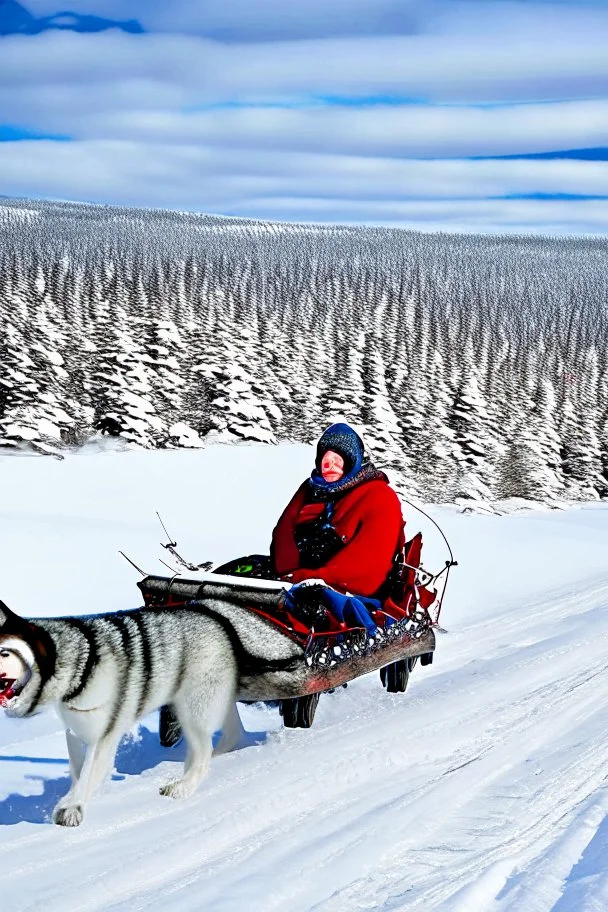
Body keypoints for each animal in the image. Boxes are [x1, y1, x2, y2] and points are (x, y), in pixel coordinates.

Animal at [0, 588, 302, 832]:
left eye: (4, 653)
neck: (82, 665)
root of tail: (213, 613)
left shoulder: (104, 736)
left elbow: (87, 773)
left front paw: (72, 807)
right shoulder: (74, 732)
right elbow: (78, 772)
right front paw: (74, 799)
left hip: (193, 709)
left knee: (203, 753)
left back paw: (183, 786)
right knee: (230, 733)